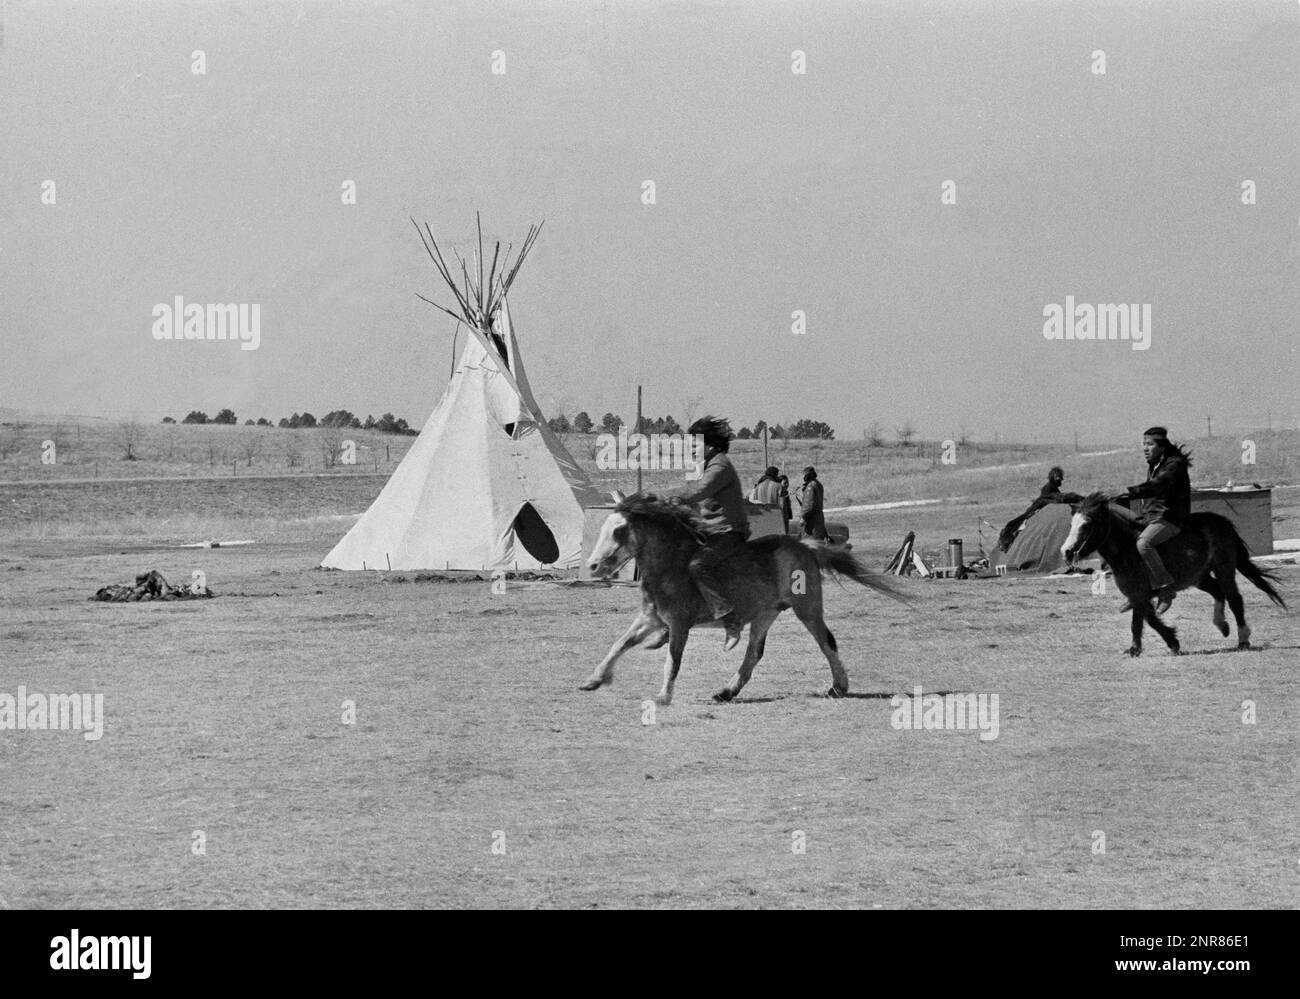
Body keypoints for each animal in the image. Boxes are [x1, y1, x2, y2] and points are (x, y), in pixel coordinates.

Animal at [580, 492, 907, 704]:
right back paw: (726, 692)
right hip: (765, 614)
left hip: (807, 608)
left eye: (619, 530)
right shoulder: (650, 618)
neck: (670, 564)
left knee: (826, 641)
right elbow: (620, 644)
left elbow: (672, 659)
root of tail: (805, 546)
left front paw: (663, 696)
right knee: (754, 653)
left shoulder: (679, 624)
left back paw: (839, 686)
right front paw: (595, 679)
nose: (593, 566)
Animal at [1060, 492, 1286, 656]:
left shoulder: (1139, 594)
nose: (1067, 551)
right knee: (1217, 592)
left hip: (1224, 569)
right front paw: (1171, 642)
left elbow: (1138, 622)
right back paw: (1222, 625)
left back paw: (1243, 638)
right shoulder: (1137, 596)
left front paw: (1136, 649)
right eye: (1071, 524)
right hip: (1199, 577)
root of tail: (1223, 523)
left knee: (1234, 599)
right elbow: (1149, 619)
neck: (1128, 549)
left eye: (1087, 525)